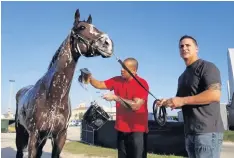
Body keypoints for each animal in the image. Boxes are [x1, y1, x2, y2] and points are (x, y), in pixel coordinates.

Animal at [14, 8, 113, 158]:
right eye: (81, 27)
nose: (108, 44)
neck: (52, 96)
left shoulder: (60, 136)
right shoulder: (34, 135)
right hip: (21, 133)